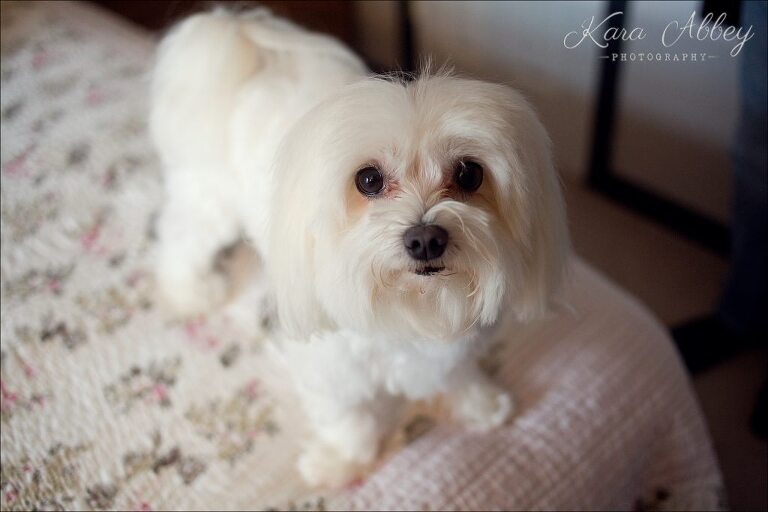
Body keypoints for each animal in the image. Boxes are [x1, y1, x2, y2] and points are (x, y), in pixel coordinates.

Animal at [152, 9, 568, 488]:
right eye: (368, 179)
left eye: (469, 174)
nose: (426, 239)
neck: (414, 308)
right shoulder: (330, 366)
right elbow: (349, 418)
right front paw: (341, 460)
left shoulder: (457, 345)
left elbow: (458, 374)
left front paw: (478, 404)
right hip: (210, 201)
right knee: (182, 238)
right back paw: (190, 291)